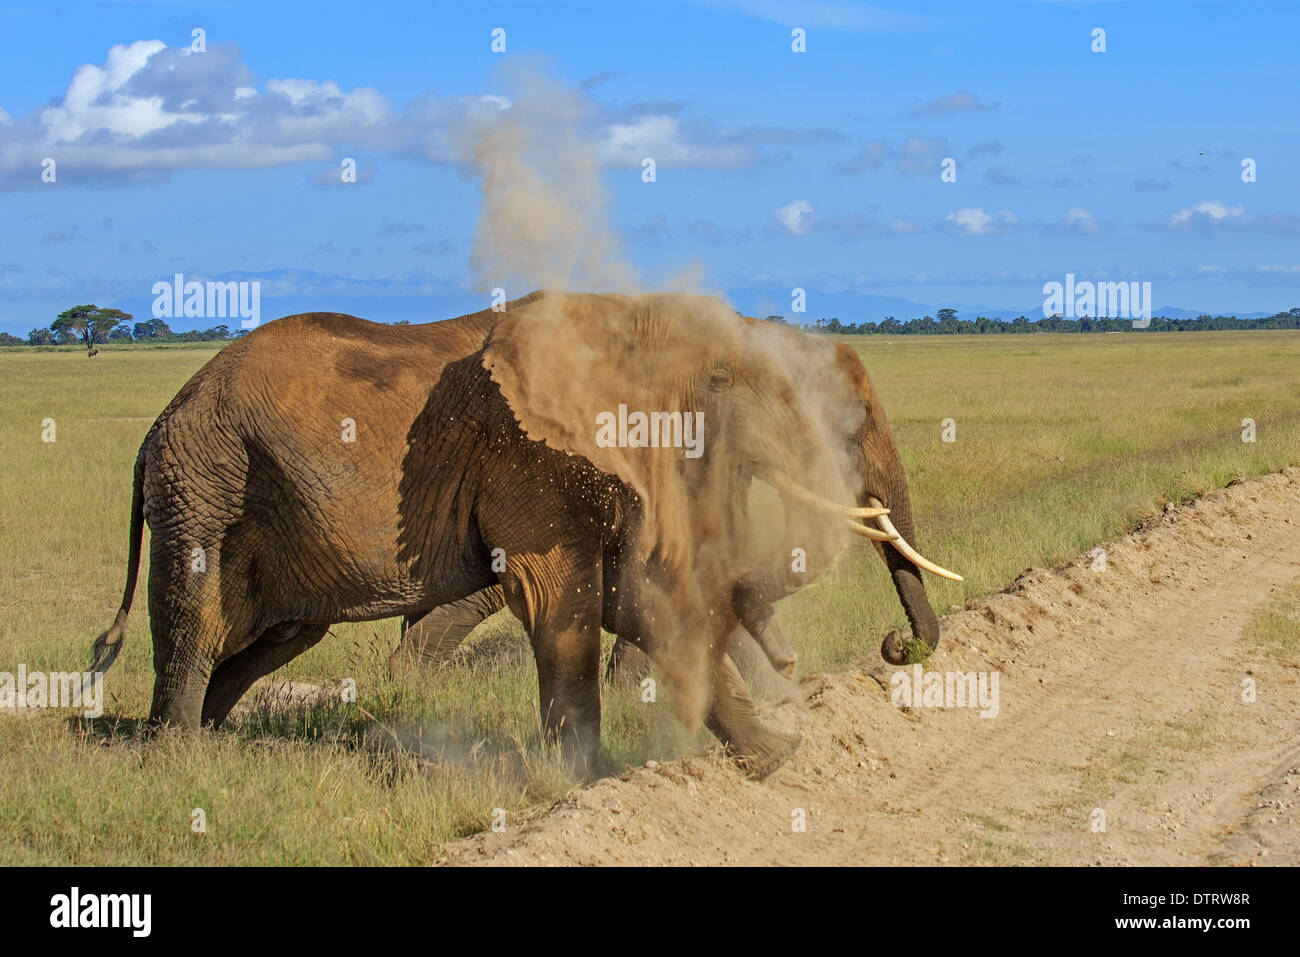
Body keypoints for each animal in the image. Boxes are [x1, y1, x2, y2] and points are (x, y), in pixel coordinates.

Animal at [86, 289, 946, 780]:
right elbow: (566, 598)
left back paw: (204, 741)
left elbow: (631, 600)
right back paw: (174, 761)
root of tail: (157, 426)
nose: (895, 647)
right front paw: (583, 782)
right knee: (196, 618)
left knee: (273, 636)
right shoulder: (535, 464)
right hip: (205, 483)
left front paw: (777, 754)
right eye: (821, 415)